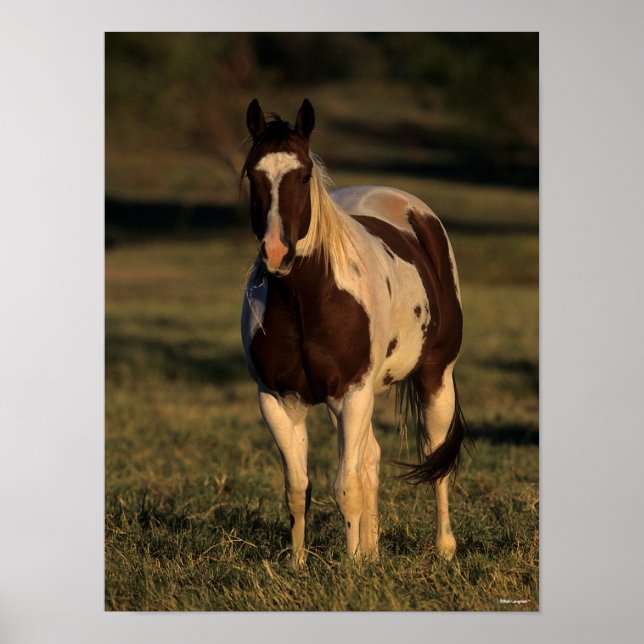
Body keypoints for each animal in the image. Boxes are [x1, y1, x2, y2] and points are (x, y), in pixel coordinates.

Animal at [240, 98, 466, 567]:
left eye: (304, 174)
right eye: (253, 173)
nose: (276, 254)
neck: (307, 302)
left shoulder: (353, 394)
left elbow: (346, 489)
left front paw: (349, 568)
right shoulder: (279, 401)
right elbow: (298, 489)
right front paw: (300, 565)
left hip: (436, 378)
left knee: (435, 457)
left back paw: (444, 548)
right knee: (371, 459)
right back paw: (373, 553)